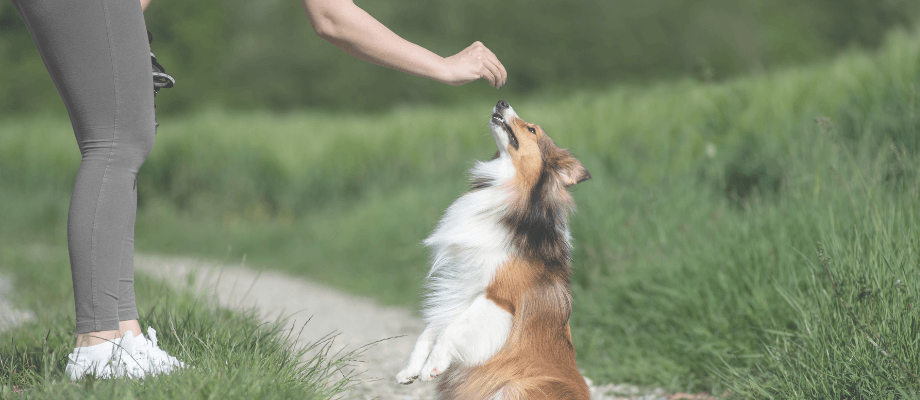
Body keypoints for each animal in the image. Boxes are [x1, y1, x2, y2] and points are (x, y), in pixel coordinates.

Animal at [398, 101, 592, 400]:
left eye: (532, 130)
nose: (502, 102)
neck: (507, 187)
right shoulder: (462, 284)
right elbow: (432, 327)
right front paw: (411, 369)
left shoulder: (499, 297)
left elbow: (453, 328)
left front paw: (432, 366)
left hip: (516, 387)